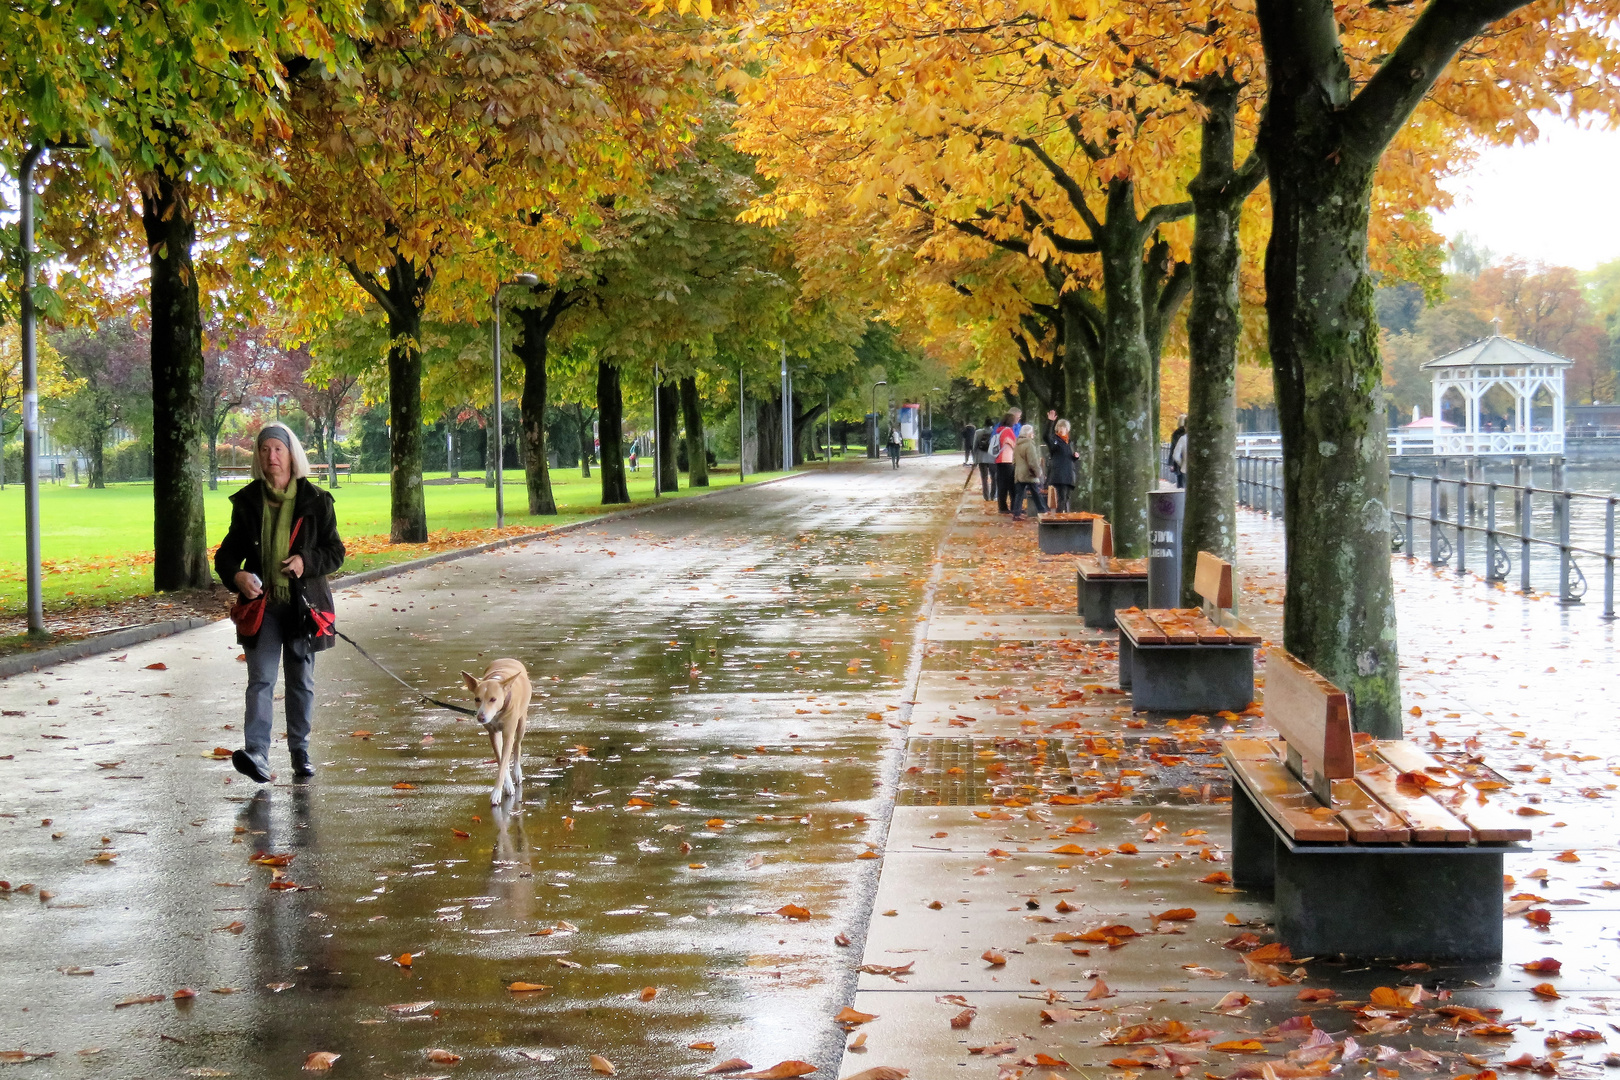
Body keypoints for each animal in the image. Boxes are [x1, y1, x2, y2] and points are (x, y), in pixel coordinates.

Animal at [460, 660, 534, 803]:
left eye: (493, 699)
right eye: (477, 699)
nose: (481, 717)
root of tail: (509, 658)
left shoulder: (508, 734)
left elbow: (504, 761)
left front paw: (496, 793)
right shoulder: (493, 734)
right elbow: (501, 762)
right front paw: (507, 785)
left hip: (522, 721)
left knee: (517, 744)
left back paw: (517, 772)